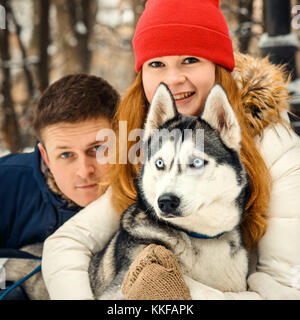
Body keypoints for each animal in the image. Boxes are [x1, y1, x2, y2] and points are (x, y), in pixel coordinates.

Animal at [89, 82, 251, 300]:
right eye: (160, 163)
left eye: (196, 162)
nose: (166, 201)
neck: (199, 235)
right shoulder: (120, 284)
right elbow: (201, 288)